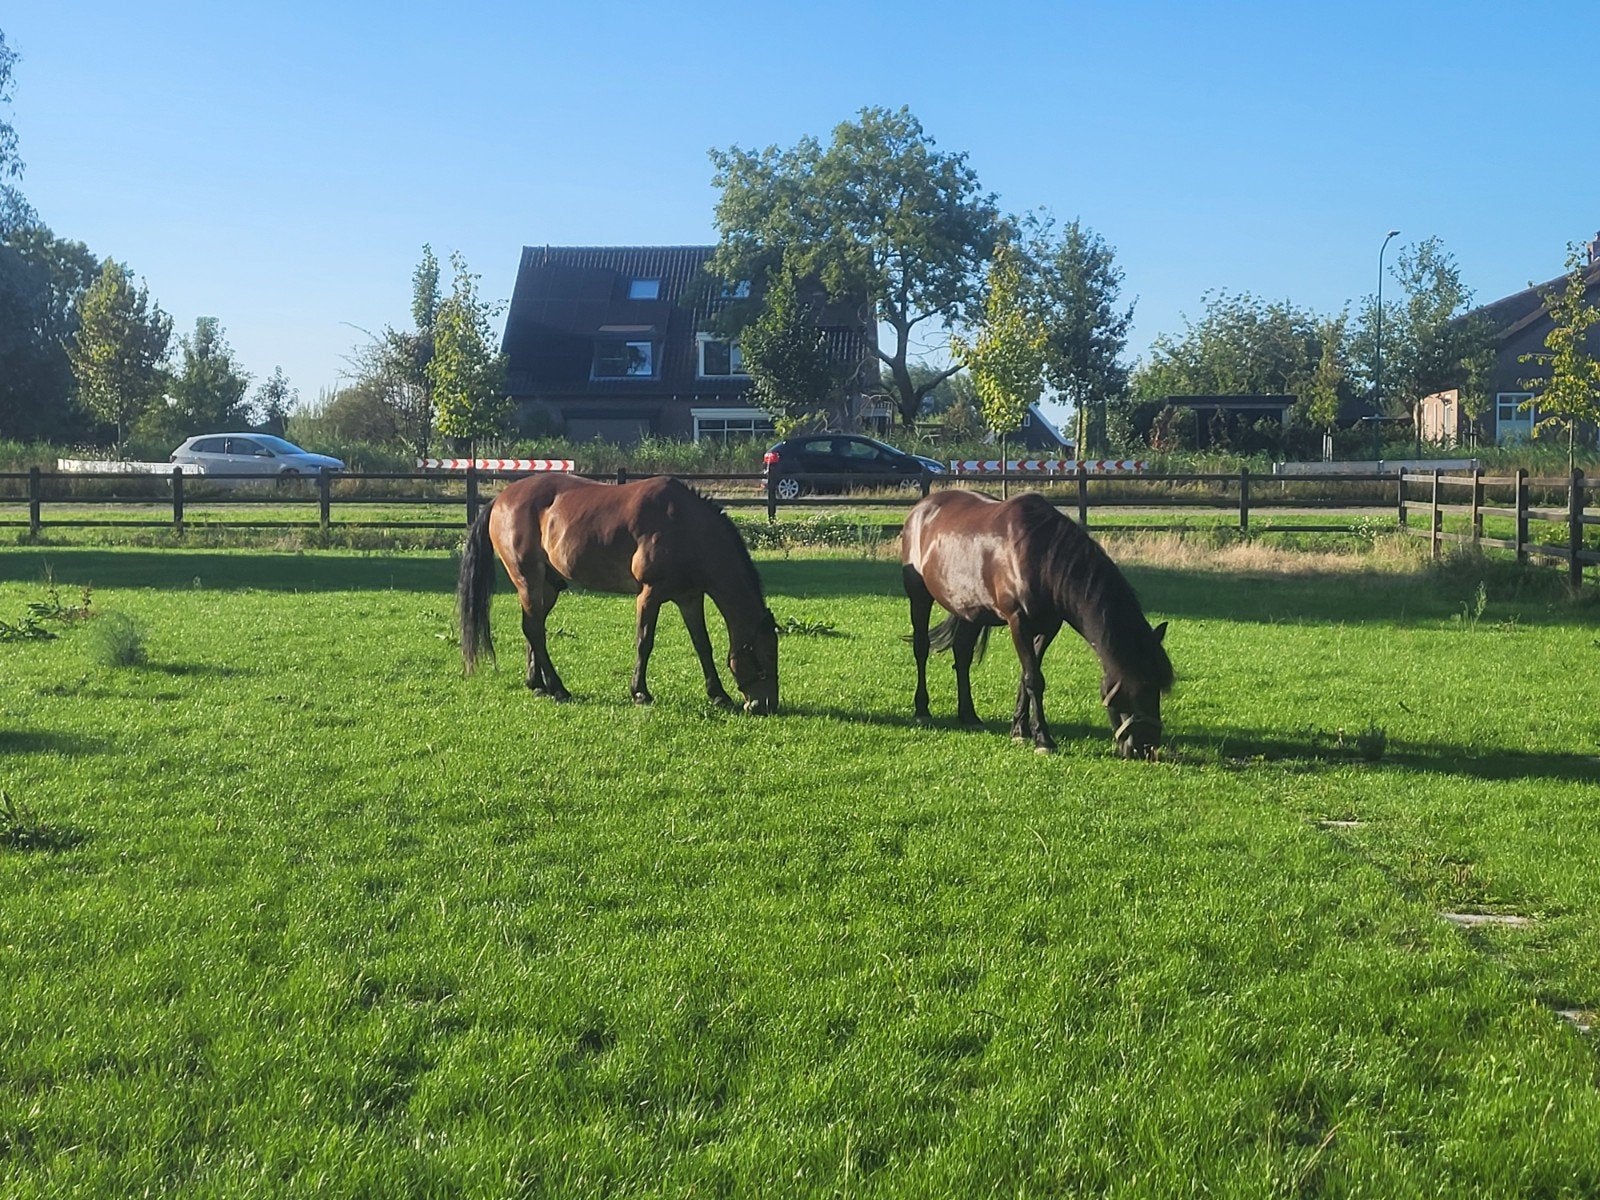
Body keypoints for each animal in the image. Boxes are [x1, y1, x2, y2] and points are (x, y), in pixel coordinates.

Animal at [458, 474, 779, 714]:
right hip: (529, 580)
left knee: (532, 628)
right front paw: (640, 692)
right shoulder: (650, 594)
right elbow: (644, 642)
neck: (685, 526)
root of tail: (500, 499)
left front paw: (718, 694)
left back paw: (537, 684)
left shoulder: (689, 597)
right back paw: (558, 688)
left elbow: (702, 645)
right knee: (534, 630)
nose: (766, 705)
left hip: (547, 587)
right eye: (763, 657)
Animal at [900, 490, 1172, 758]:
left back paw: (968, 715)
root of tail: (921, 508)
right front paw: (1043, 739)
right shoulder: (1018, 622)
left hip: (970, 610)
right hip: (919, 596)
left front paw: (1020, 730)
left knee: (962, 655)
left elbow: (1026, 677)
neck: (1041, 559)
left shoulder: (1047, 628)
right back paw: (922, 710)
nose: (1147, 748)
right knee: (921, 648)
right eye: (1142, 688)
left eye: (1158, 690)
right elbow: (1034, 679)